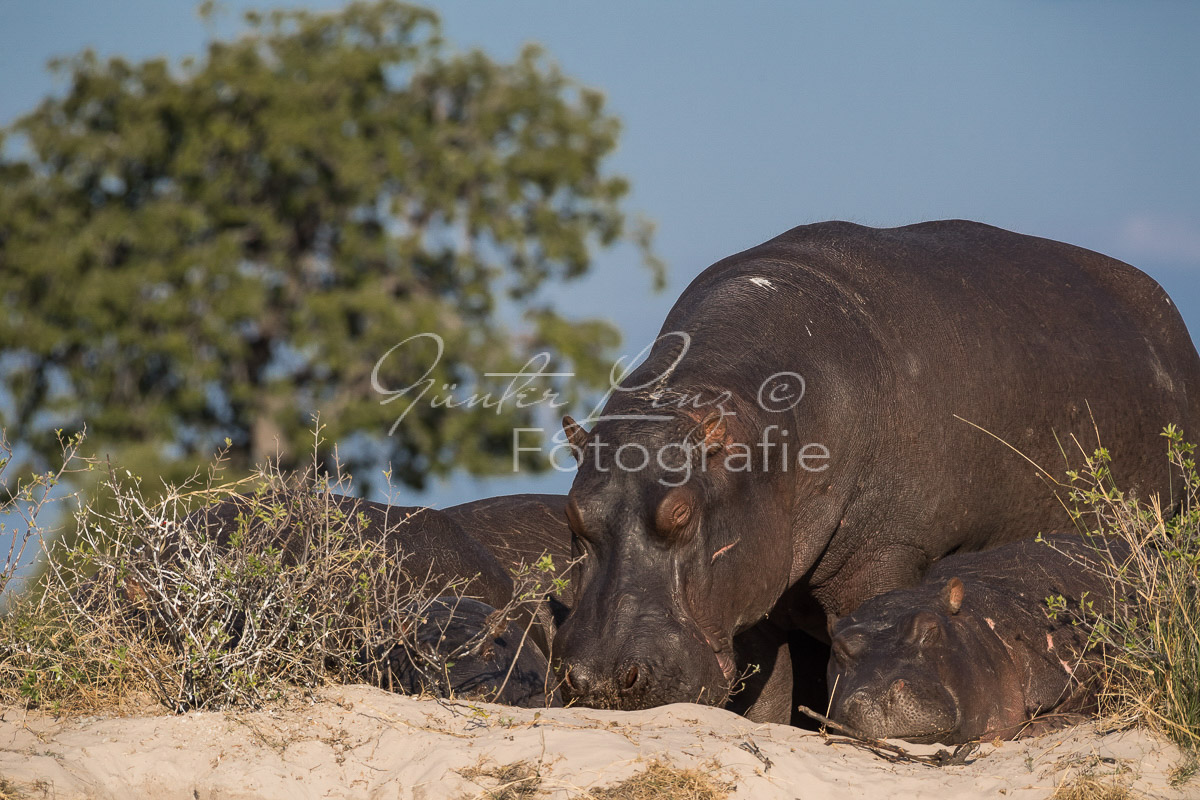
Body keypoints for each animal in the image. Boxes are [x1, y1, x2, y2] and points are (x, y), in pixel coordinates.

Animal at [552, 220, 1200, 724]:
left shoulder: (882, 557)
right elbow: (766, 703)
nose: (601, 681)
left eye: (681, 512)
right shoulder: (751, 585)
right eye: (573, 515)